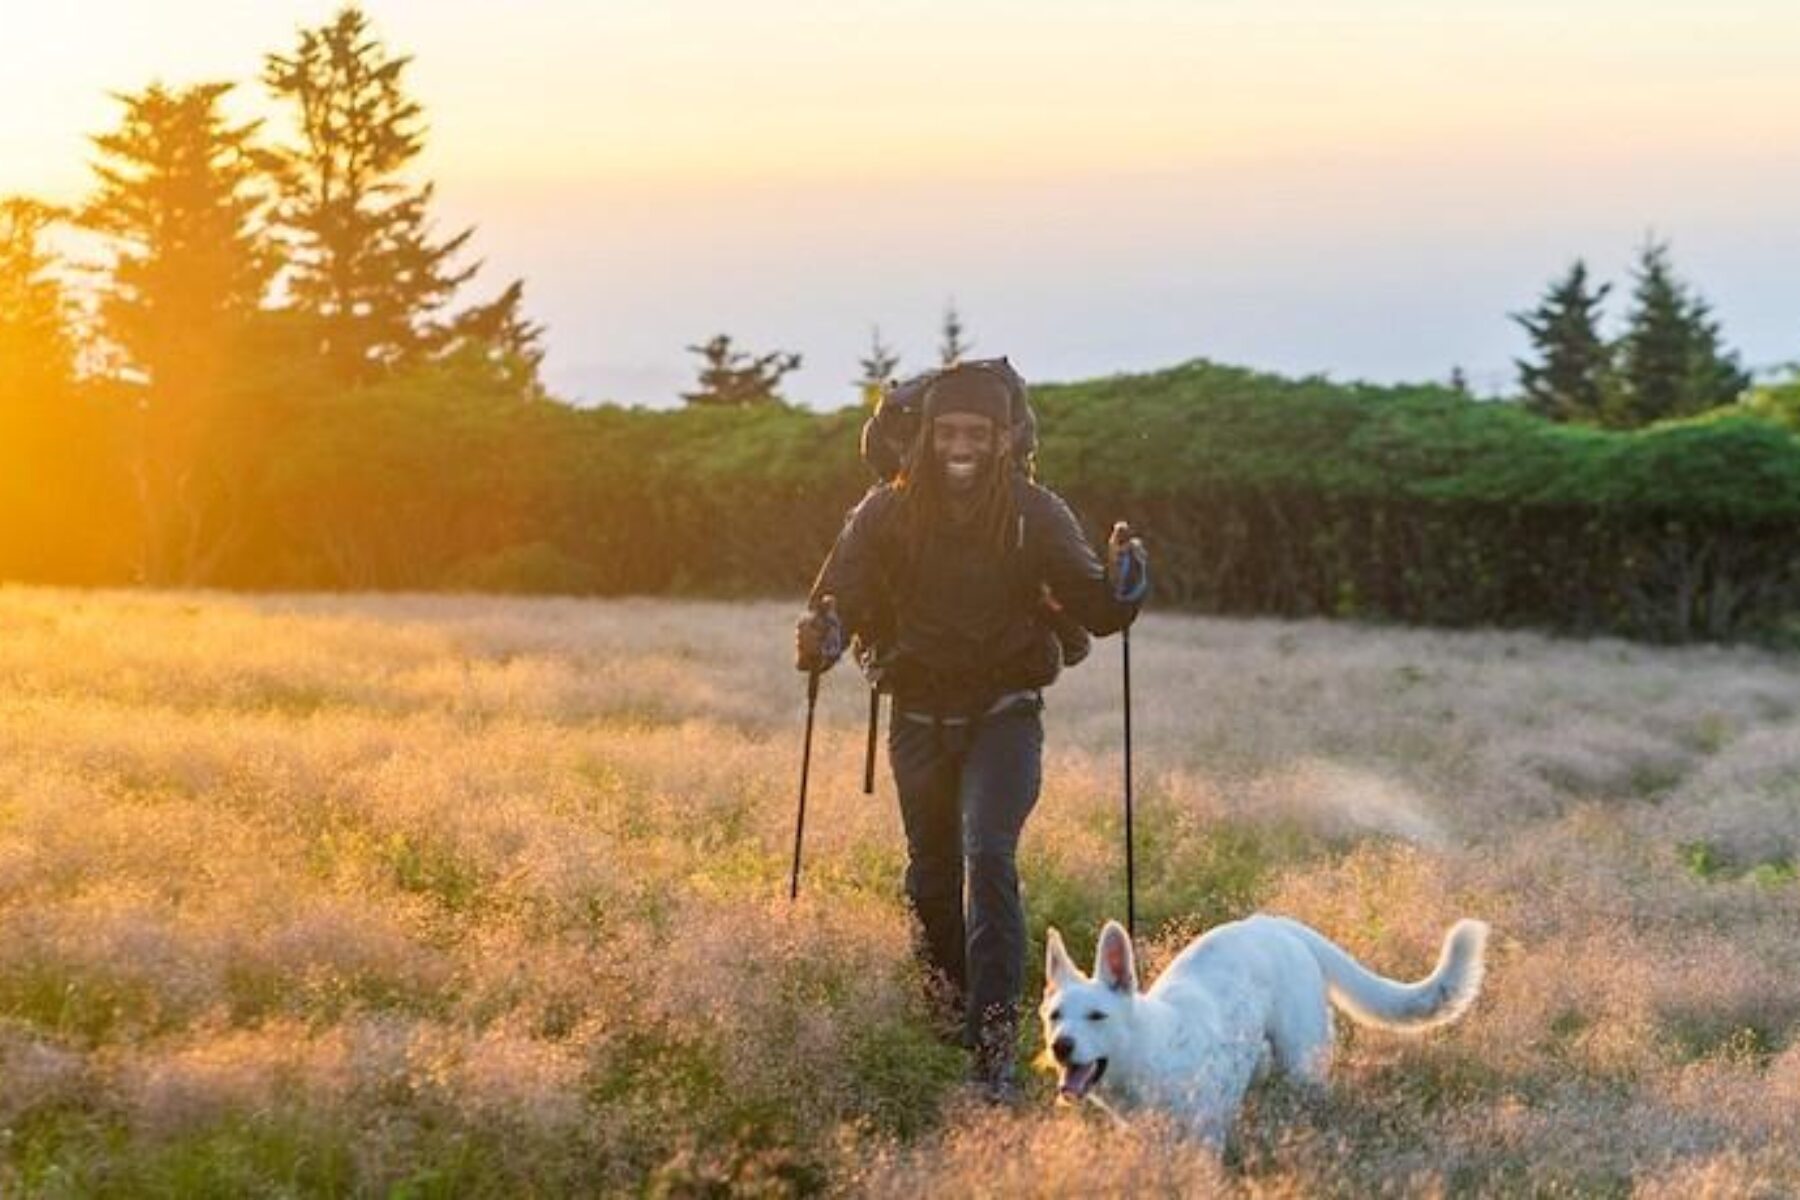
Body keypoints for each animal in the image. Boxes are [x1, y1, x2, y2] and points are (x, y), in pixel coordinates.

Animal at [1044, 913, 1490, 1151]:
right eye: (1054, 1016)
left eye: (1098, 1016)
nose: (1060, 1047)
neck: (1151, 1051)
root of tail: (1277, 924)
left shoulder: (1203, 1141)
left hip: (1303, 1067)